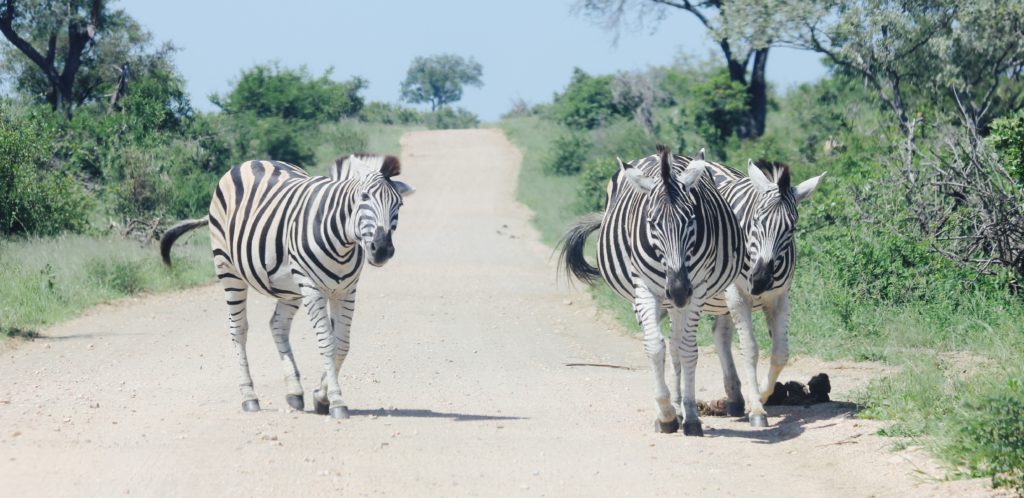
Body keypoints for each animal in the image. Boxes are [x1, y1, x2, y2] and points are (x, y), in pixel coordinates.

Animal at [158, 153, 411, 418]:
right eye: (364, 198)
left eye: (399, 205)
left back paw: (294, 391)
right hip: (228, 269)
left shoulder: (346, 291)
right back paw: (249, 397)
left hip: (289, 289)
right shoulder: (312, 288)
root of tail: (250, 162)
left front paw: (320, 396)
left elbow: (342, 345)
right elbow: (327, 343)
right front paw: (336, 401)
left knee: (277, 325)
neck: (342, 240)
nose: (382, 250)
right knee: (238, 329)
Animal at [561, 144, 745, 436]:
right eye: (652, 222)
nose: (678, 290)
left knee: (678, 345)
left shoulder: (697, 289)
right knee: (666, 343)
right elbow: (655, 348)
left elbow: (687, 350)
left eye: (691, 219)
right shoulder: (645, 289)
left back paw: (683, 407)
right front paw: (666, 414)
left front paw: (690, 415)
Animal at [704, 157, 823, 426]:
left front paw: (761, 395)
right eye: (757, 220)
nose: (759, 280)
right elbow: (749, 349)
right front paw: (757, 409)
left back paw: (735, 399)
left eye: (791, 228)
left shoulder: (779, 298)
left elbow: (780, 353)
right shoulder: (737, 295)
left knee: (719, 335)